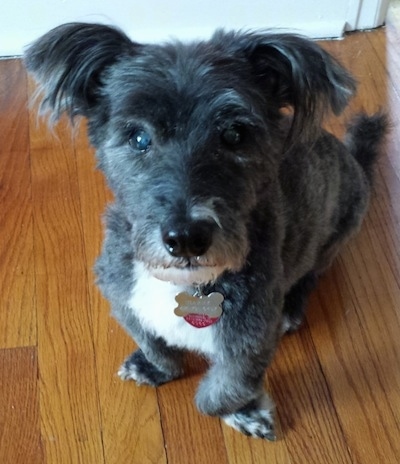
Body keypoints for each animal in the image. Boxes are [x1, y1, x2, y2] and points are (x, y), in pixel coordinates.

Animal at [23, 23, 386, 440]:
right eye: (138, 137)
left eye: (235, 135)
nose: (185, 239)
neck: (185, 284)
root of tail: (352, 157)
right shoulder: (122, 296)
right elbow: (153, 342)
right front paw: (154, 367)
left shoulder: (251, 339)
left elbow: (219, 394)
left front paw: (245, 411)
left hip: (337, 232)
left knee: (311, 273)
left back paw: (294, 307)